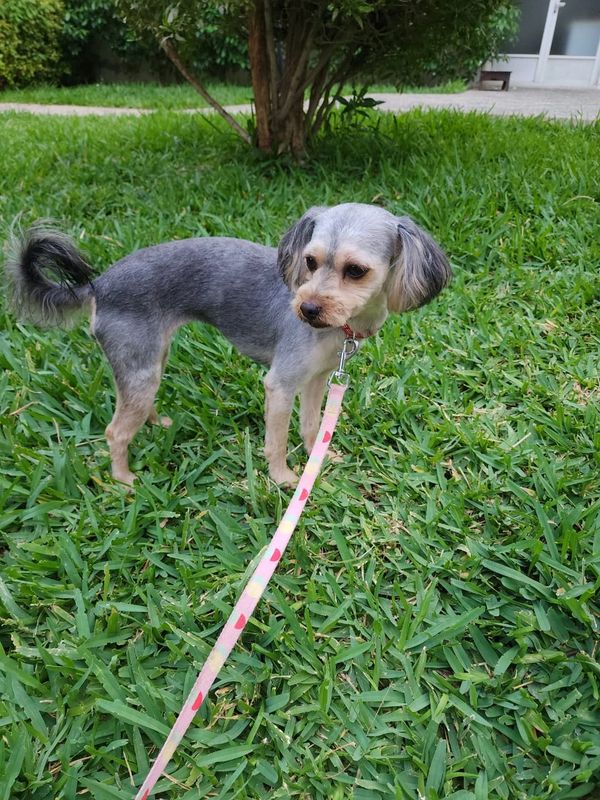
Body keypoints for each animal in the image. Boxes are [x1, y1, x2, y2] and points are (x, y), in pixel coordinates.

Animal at [5, 203, 451, 487]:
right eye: (309, 262)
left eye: (356, 271)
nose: (305, 308)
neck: (338, 328)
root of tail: (98, 284)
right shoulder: (281, 385)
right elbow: (276, 441)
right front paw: (285, 479)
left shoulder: (316, 381)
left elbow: (312, 425)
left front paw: (317, 457)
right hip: (140, 364)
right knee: (115, 431)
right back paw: (124, 479)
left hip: (150, 358)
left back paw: (156, 424)